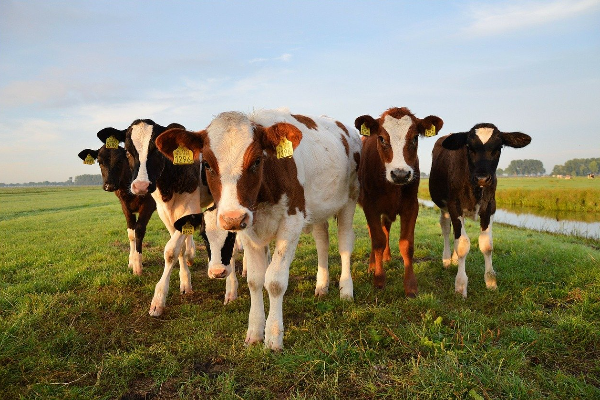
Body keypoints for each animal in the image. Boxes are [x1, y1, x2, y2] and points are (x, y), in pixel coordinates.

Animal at [76, 131, 156, 276]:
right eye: (100, 162)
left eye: (120, 161)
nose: (109, 185)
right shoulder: (125, 206)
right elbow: (131, 233)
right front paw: (131, 262)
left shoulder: (148, 204)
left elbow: (139, 230)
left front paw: (138, 266)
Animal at [156, 109, 360, 350]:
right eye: (206, 164)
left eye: (256, 161)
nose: (232, 217)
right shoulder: (249, 229)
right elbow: (255, 280)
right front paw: (254, 332)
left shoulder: (292, 222)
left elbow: (275, 280)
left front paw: (273, 336)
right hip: (319, 209)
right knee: (322, 241)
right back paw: (322, 285)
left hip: (349, 199)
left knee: (344, 243)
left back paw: (346, 290)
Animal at [354, 108, 442, 296]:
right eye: (381, 138)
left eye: (415, 137)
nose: (400, 174)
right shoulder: (370, 206)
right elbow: (377, 240)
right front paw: (379, 279)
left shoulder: (411, 206)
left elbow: (406, 244)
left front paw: (410, 286)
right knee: (374, 233)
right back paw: (372, 265)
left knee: (385, 227)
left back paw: (386, 257)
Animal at [428, 122, 532, 296]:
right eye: (469, 147)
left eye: (498, 147)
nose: (482, 178)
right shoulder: (454, 206)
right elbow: (462, 244)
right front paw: (461, 285)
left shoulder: (489, 207)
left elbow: (486, 245)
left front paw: (490, 281)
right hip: (444, 207)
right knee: (446, 228)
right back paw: (447, 259)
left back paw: (454, 259)